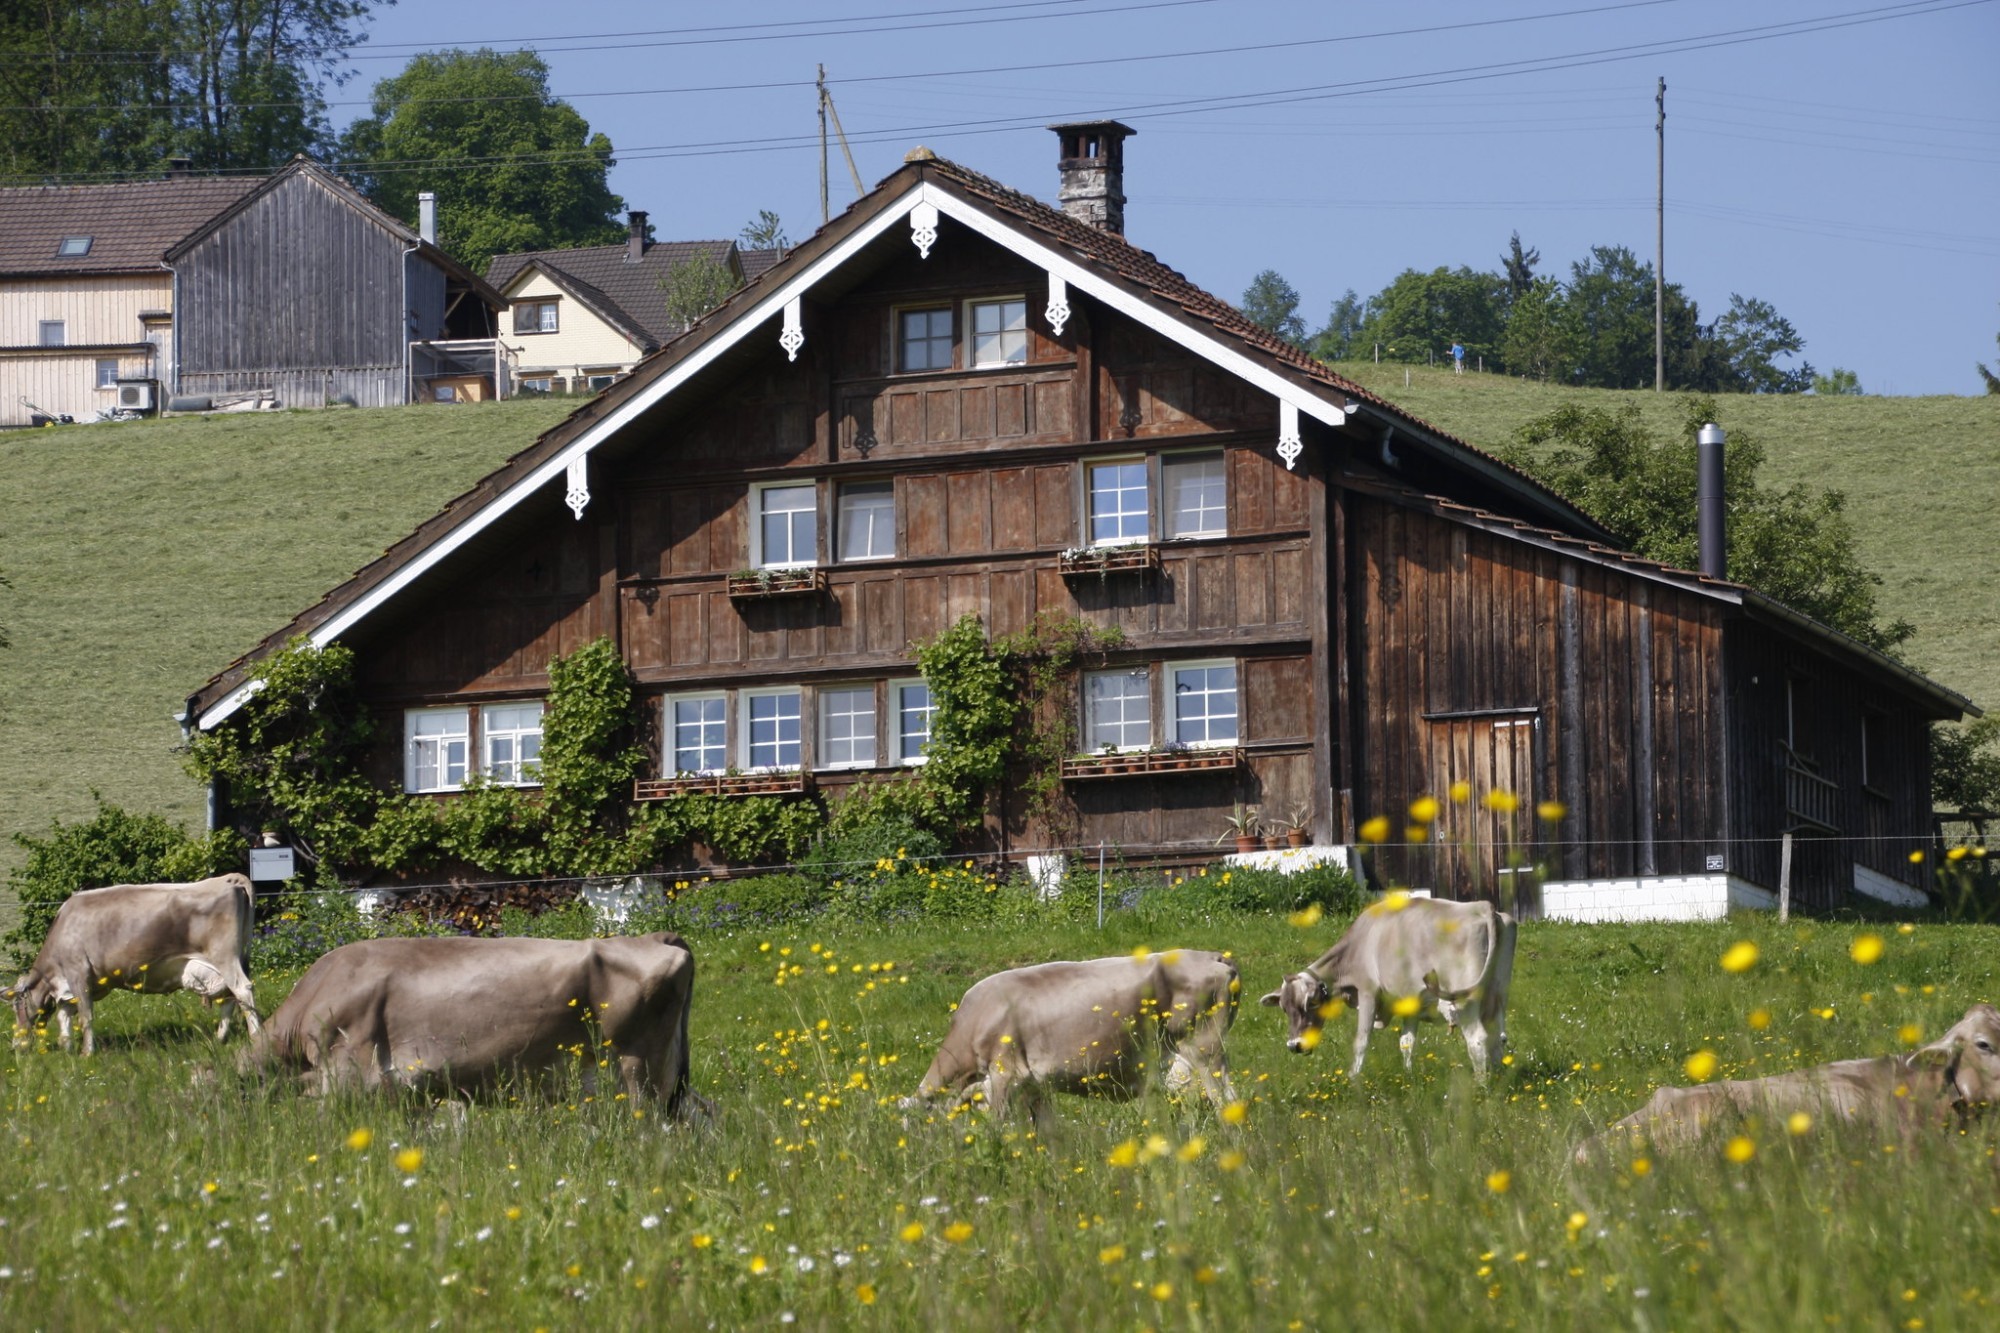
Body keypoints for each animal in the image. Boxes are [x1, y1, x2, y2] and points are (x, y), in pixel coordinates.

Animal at [9, 872, 260, 1048]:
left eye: (14, 1006)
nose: (15, 1046)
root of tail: (228, 880)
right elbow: (65, 1016)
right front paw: (67, 1048)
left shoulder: (78, 973)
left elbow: (85, 1016)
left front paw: (87, 1053)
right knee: (229, 997)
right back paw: (220, 1037)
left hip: (225, 958)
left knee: (242, 990)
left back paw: (256, 1037)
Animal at [904, 944, 1240, 1120]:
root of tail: (1212, 955)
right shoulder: (1033, 1086)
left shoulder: (1005, 1073)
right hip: (1182, 1060)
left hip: (1206, 1050)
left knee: (1225, 1098)